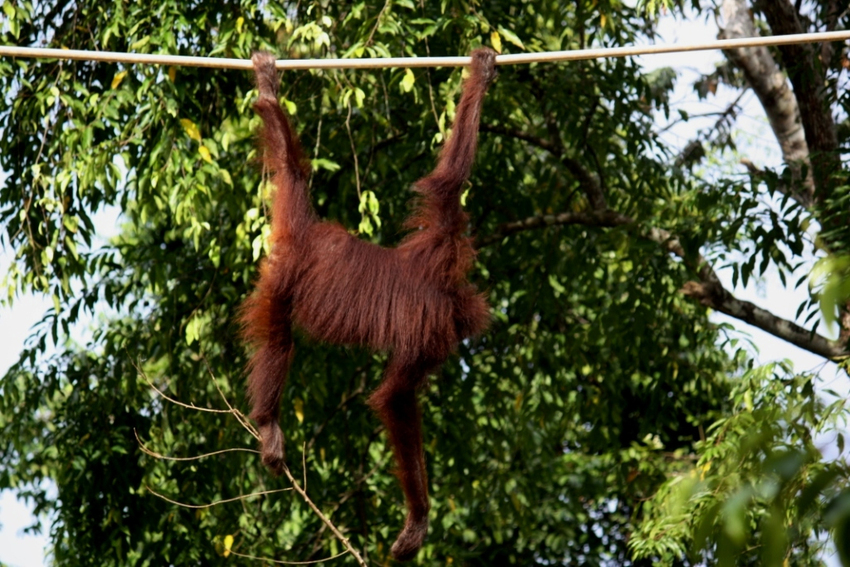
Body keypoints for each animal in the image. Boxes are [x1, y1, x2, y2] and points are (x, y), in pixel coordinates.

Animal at [241, 48, 496, 561]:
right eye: (457, 336)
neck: (446, 288)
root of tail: (307, 229)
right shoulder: (432, 326)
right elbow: (395, 398)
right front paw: (417, 520)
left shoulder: (437, 244)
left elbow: (445, 183)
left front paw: (478, 73)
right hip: (282, 279)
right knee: (279, 340)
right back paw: (269, 424)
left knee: (293, 168)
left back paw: (268, 95)